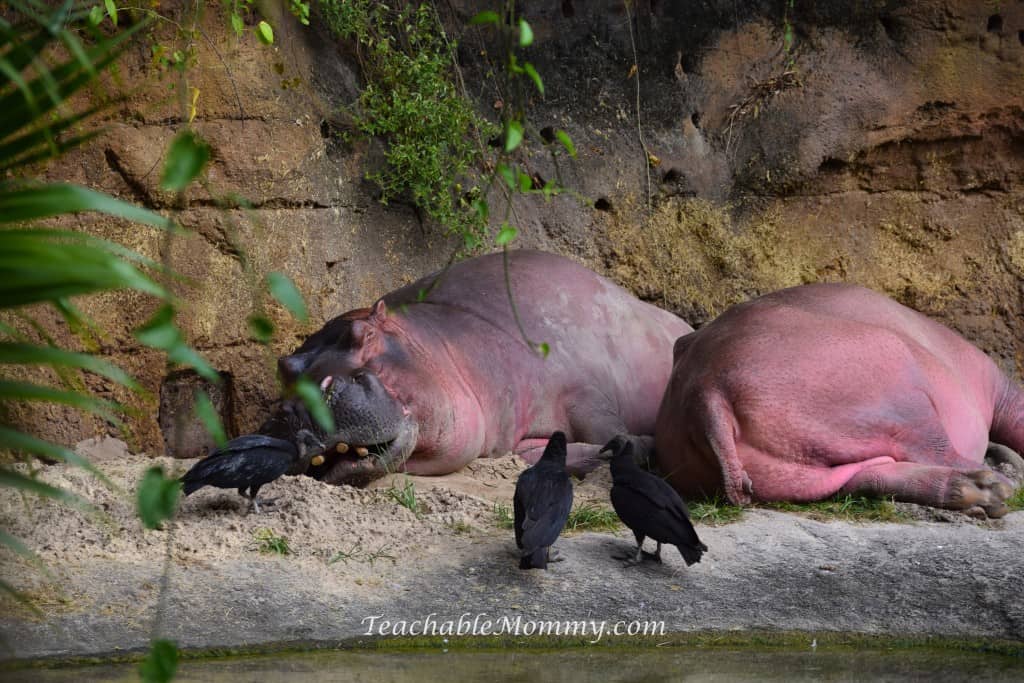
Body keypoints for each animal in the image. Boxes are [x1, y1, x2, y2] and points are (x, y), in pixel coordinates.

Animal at [254, 250, 692, 485]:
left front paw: (637, 446)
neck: (445, 343)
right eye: (284, 366)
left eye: (363, 334)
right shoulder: (515, 443)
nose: (301, 407)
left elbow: (609, 430)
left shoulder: (581, 390)